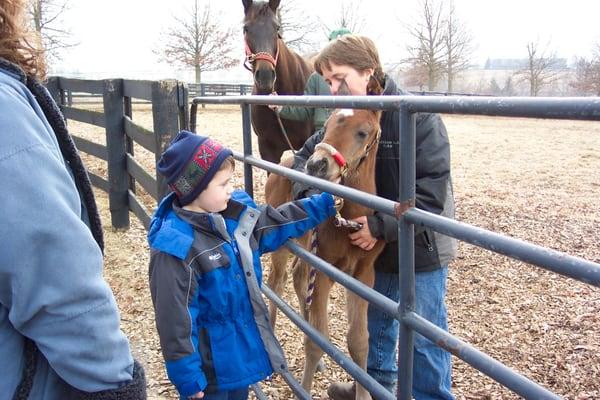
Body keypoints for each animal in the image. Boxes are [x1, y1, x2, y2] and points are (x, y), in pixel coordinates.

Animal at [264, 104, 386, 398]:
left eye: (362, 132)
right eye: (327, 126)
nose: (316, 164)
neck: (349, 219)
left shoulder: (363, 276)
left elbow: (359, 342)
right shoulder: (322, 271)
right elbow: (317, 342)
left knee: (298, 277)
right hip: (282, 243)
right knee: (276, 283)